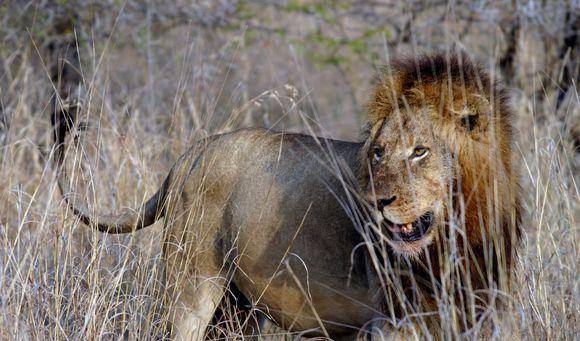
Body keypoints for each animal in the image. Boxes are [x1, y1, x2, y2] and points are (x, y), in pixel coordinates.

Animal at [54, 51, 520, 338]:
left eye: (420, 151)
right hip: (191, 282)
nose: (375, 203)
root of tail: (189, 155)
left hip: (239, 309)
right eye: (378, 152)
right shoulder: (393, 320)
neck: (462, 231)